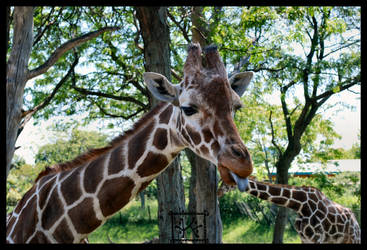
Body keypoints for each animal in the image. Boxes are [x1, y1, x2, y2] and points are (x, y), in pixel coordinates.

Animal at [218, 176, 362, 244]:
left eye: (228, 182)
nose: (218, 192)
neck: (300, 205)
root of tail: (356, 222)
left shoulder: (317, 239)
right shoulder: (305, 239)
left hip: (354, 239)